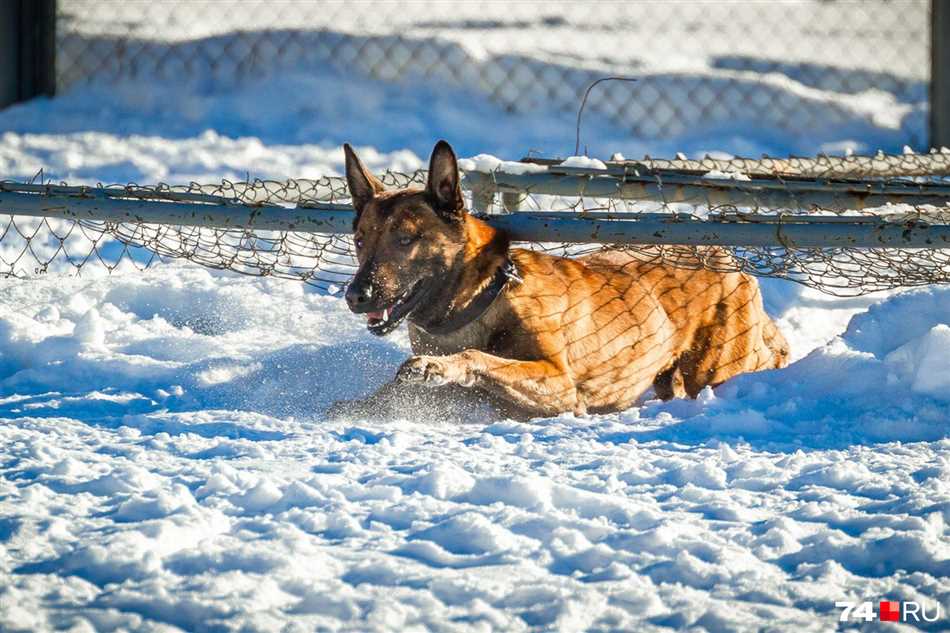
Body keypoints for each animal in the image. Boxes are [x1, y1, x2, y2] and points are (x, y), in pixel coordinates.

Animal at [332, 142, 788, 420]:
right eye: (360, 239)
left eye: (406, 239)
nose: (356, 296)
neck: (482, 299)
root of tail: (730, 259)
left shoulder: (560, 384)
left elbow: (483, 359)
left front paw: (440, 366)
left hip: (716, 368)